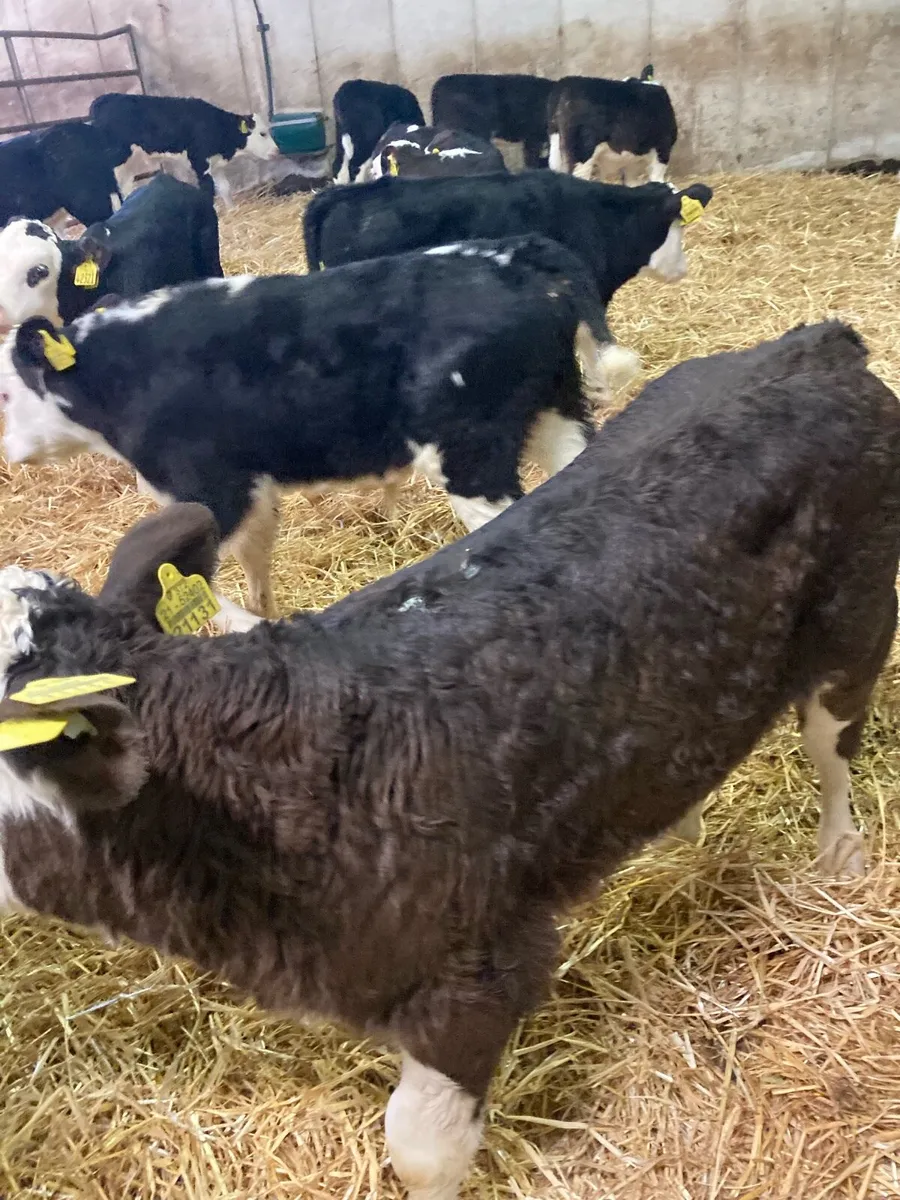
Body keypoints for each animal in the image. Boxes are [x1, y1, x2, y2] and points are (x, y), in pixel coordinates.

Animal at [88, 93, 279, 207]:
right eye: (262, 133)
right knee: (113, 191)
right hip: (116, 161)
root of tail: (103, 99)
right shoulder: (200, 163)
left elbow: (225, 188)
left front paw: (232, 210)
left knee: (124, 189)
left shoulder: (215, 164)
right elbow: (207, 191)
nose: (277, 151)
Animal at [548, 66, 678, 185]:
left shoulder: (631, 160)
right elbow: (657, 177)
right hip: (582, 153)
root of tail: (567, 82)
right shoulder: (663, 147)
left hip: (555, 147)